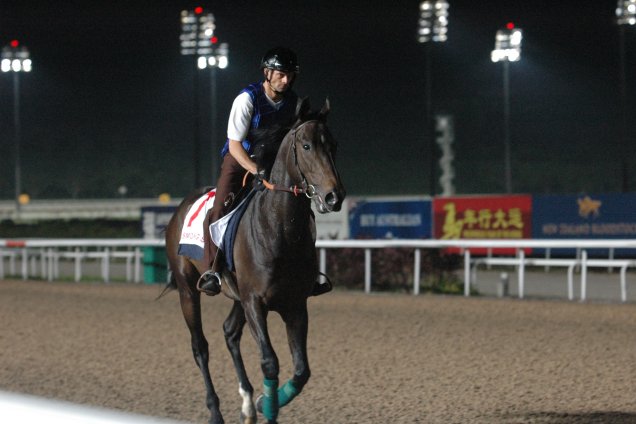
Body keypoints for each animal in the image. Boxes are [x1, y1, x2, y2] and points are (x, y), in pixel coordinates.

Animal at [164, 97, 342, 424]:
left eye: (333, 145)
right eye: (307, 146)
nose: (334, 196)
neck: (279, 228)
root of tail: (179, 210)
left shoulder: (294, 304)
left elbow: (301, 370)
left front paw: (261, 402)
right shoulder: (255, 302)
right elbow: (269, 361)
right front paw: (267, 405)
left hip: (237, 296)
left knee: (229, 332)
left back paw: (247, 402)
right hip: (188, 289)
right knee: (200, 347)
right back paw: (215, 411)